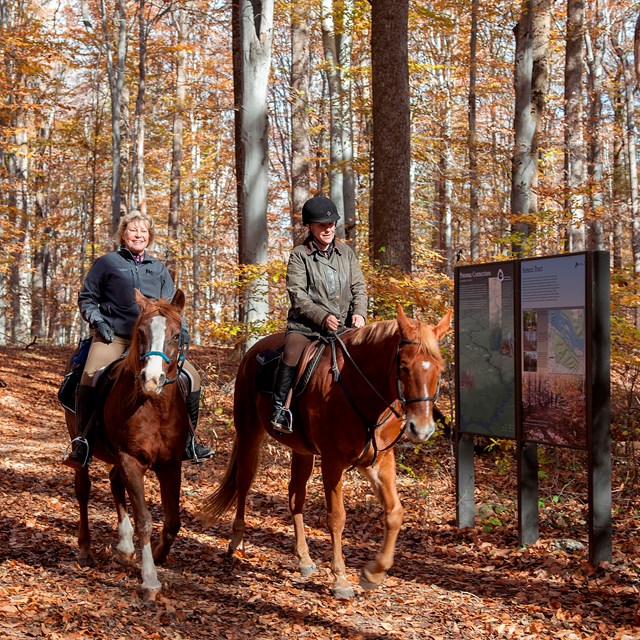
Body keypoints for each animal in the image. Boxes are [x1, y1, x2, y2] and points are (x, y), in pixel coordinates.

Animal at [63, 290, 191, 600]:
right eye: (141, 332)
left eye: (176, 335)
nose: (152, 380)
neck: (154, 407)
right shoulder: (130, 459)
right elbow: (144, 519)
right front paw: (150, 580)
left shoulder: (170, 463)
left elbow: (173, 520)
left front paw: (158, 553)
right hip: (83, 446)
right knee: (83, 490)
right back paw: (86, 550)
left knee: (113, 482)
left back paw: (124, 546)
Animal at [200, 304, 450, 600]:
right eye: (403, 367)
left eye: (440, 369)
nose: (421, 429)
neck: (360, 390)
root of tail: (252, 352)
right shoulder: (333, 462)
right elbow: (337, 518)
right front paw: (340, 579)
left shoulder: (380, 462)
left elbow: (395, 513)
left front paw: (373, 573)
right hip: (249, 433)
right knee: (244, 482)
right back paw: (236, 541)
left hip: (302, 452)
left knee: (295, 497)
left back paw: (305, 560)